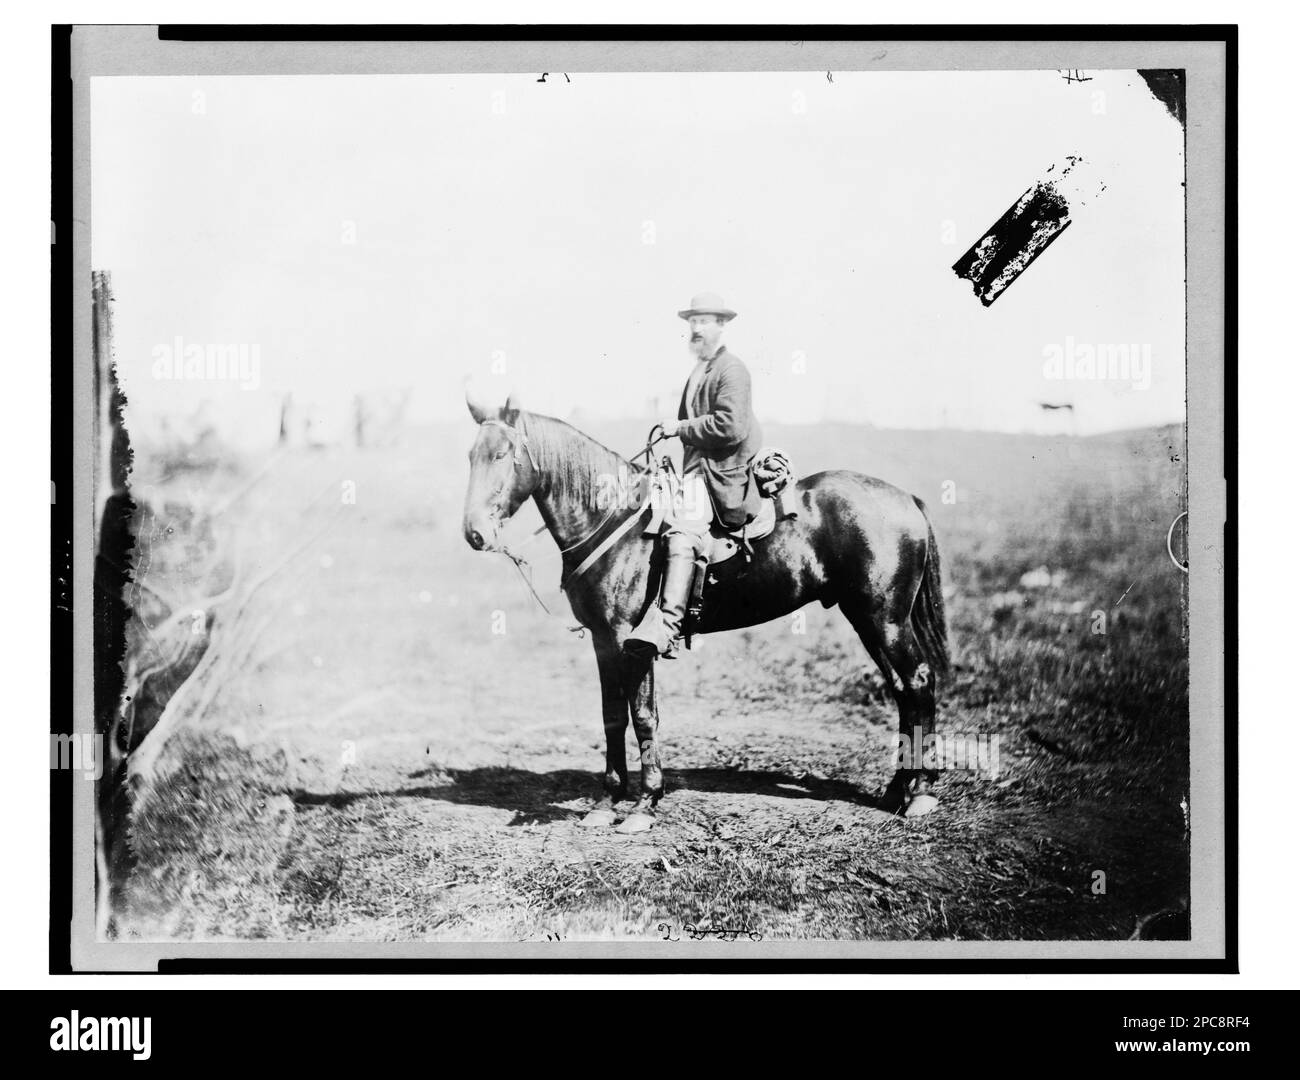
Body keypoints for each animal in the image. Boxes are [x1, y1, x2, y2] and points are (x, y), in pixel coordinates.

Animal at [461, 389, 951, 833]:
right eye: (470, 455)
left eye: (502, 454)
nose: (474, 533)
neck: (613, 520)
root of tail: (906, 498)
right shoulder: (602, 641)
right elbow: (612, 716)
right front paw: (607, 801)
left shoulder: (629, 642)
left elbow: (643, 716)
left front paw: (645, 803)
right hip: (869, 619)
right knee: (902, 688)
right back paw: (897, 790)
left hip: (884, 618)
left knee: (917, 681)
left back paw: (920, 793)